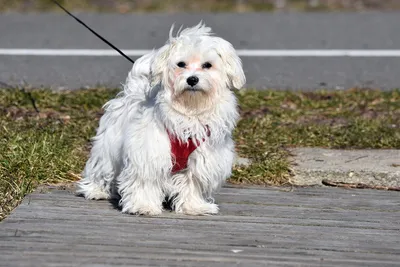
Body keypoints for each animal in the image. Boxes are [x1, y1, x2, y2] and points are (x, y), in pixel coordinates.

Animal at [74, 22, 244, 217]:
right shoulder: (148, 153)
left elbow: (192, 183)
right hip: (108, 145)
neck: (190, 110)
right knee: (102, 167)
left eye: (207, 65)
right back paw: (96, 190)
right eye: (181, 64)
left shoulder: (202, 158)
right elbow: (145, 180)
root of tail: (131, 93)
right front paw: (143, 206)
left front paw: (193, 206)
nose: (192, 79)